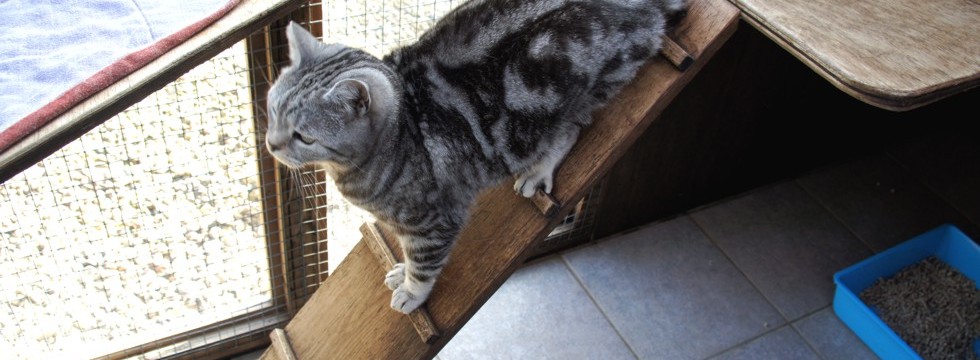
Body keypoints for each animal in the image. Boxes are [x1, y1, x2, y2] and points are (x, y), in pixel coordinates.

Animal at [264, 0, 684, 316]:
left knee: (569, 130)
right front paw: (401, 273)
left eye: (304, 136)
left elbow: (423, 265)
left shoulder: (433, 223)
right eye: (271, 111)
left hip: (577, 99)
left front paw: (412, 291)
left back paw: (539, 168)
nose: (270, 145)